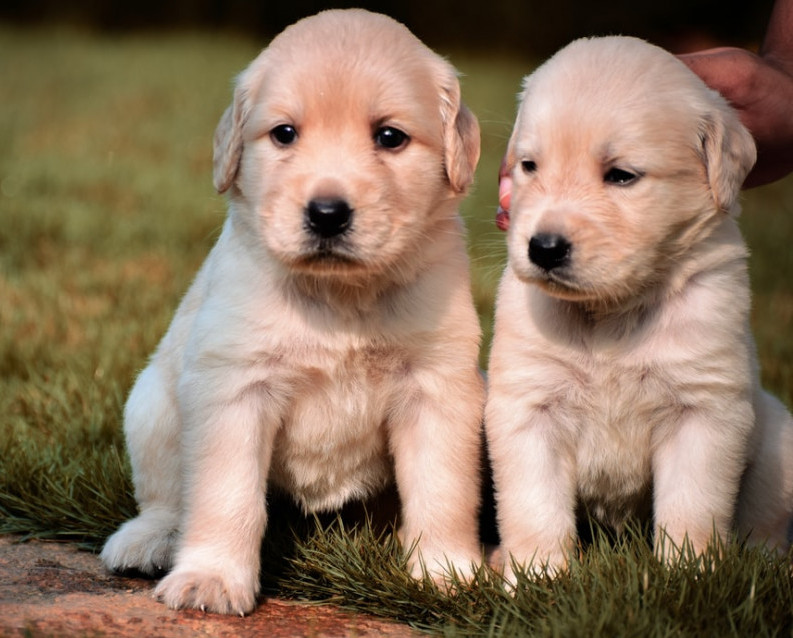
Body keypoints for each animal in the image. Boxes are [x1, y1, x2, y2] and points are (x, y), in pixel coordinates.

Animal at [99, 6, 482, 616]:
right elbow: (226, 495)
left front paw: (445, 572)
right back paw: (149, 539)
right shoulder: (235, 386)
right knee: (165, 497)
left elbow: (442, 489)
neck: (339, 296)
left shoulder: (438, 386)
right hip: (151, 404)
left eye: (390, 137)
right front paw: (211, 578)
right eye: (284, 134)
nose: (327, 214)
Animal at [486, 36, 792, 584]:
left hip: (780, 442)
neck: (612, 312)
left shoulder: (703, 411)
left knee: (765, 523)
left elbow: (692, 507)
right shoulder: (528, 408)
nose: (543, 248)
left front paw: (689, 576)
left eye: (621, 176)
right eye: (529, 166)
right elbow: (533, 506)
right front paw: (536, 578)